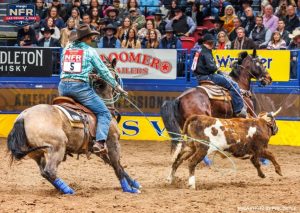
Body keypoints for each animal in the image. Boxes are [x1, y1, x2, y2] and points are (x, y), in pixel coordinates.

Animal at [6, 58, 141, 195]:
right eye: (116, 76)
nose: (121, 89)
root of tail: (23, 116)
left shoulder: (99, 149)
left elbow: (115, 165)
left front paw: (134, 183)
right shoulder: (112, 142)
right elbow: (117, 166)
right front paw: (129, 189)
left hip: (36, 153)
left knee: (44, 172)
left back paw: (63, 189)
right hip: (57, 146)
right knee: (49, 171)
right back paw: (69, 190)